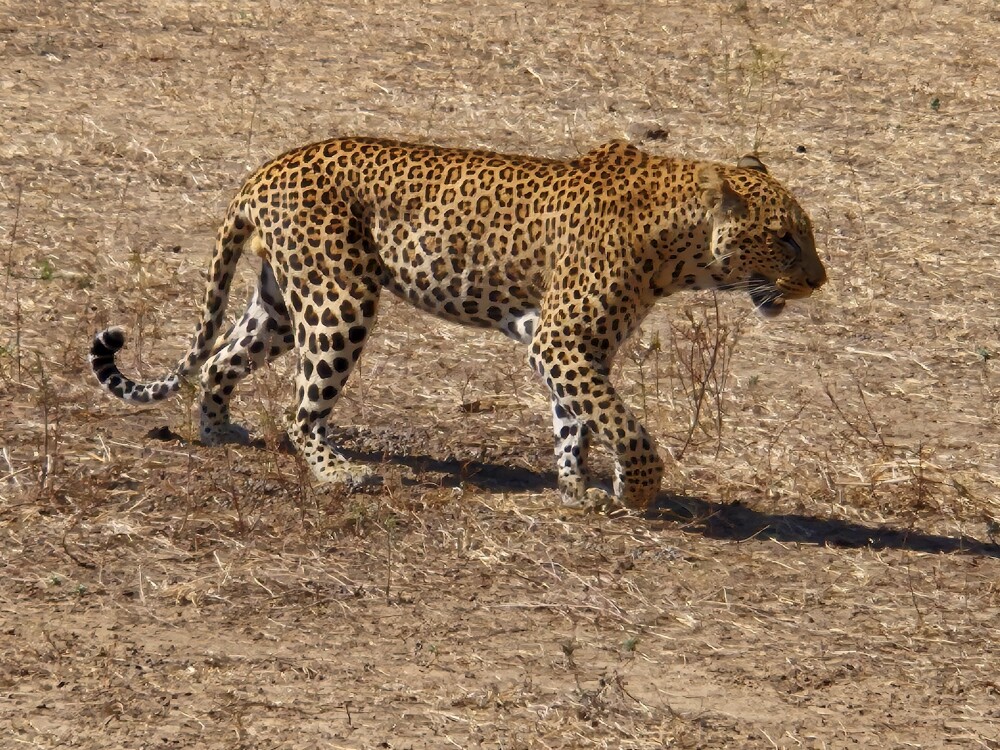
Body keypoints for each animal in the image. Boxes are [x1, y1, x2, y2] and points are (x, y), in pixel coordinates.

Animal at [90, 137, 826, 510]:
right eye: (786, 239)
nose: (818, 280)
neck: (681, 246)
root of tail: (265, 169)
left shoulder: (571, 347)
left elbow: (578, 418)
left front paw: (575, 485)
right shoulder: (561, 340)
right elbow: (624, 425)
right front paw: (635, 488)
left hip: (282, 301)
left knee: (219, 362)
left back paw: (218, 433)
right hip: (341, 300)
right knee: (300, 411)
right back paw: (338, 474)